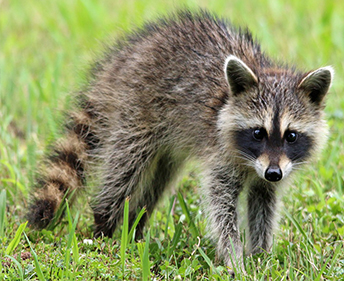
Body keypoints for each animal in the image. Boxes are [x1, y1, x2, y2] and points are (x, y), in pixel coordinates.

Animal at [26, 9, 334, 270]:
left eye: (291, 136)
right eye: (258, 132)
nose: (273, 173)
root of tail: (125, 57)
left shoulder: (271, 171)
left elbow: (263, 204)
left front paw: (261, 256)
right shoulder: (221, 154)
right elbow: (221, 205)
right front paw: (234, 257)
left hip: (167, 143)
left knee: (158, 180)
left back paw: (135, 226)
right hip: (136, 109)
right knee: (125, 167)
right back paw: (104, 224)